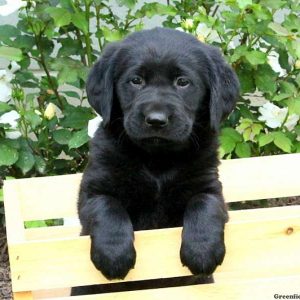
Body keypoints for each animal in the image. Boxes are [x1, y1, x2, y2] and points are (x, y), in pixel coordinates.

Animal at [77, 28, 239, 290]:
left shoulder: (209, 185)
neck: (157, 160)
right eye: (136, 81)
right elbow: (107, 206)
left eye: (183, 82)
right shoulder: (93, 190)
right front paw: (114, 256)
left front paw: (202, 252)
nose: (156, 119)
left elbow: (204, 204)